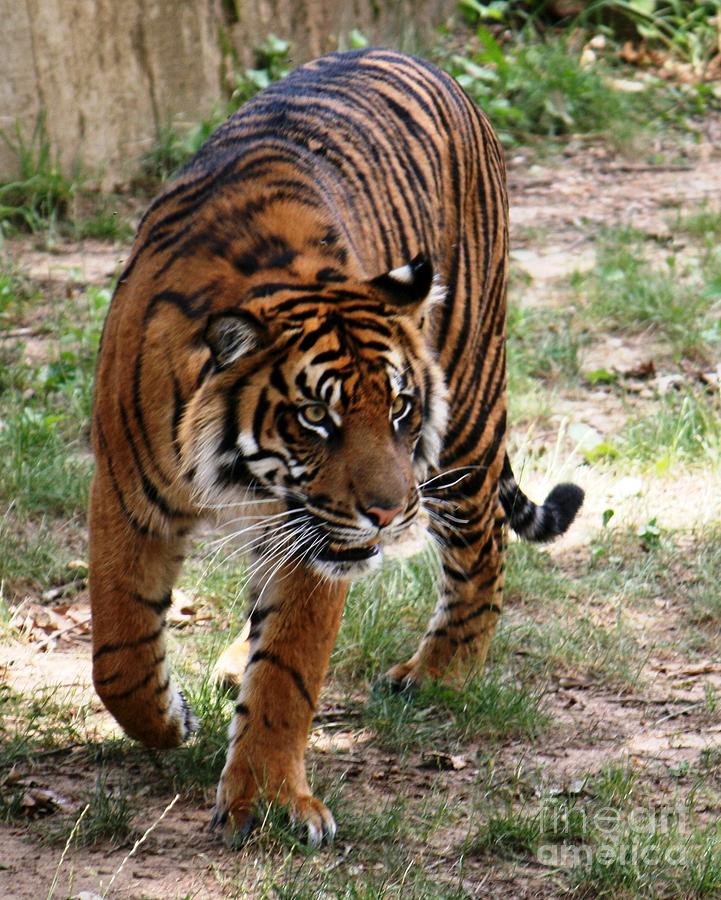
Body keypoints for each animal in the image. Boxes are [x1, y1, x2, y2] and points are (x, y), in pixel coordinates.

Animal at [90, 47, 584, 852]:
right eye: (316, 419)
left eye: (401, 409)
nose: (387, 513)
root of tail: (416, 57)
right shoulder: (128, 494)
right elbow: (119, 649)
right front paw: (170, 722)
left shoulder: (318, 540)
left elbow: (289, 669)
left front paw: (266, 803)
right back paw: (236, 661)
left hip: (469, 409)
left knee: (482, 548)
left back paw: (437, 673)